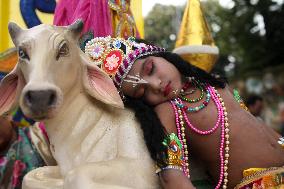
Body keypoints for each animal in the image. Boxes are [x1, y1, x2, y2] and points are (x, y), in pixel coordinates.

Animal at [0, 20, 160, 189]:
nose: (40, 97)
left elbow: (75, 175)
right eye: (22, 53)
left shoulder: (141, 169)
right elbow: (31, 175)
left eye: (63, 49)